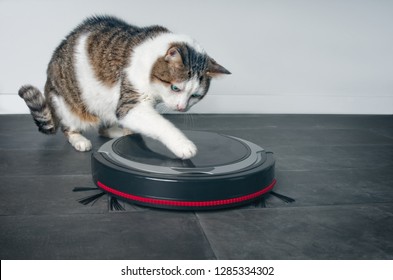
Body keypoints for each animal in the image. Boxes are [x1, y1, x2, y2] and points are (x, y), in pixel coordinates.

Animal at [19, 15, 230, 159]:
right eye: (176, 88)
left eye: (195, 96)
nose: (181, 107)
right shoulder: (131, 104)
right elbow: (161, 125)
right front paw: (183, 145)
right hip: (67, 105)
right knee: (69, 128)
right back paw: (80, 140)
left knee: (103, 128)